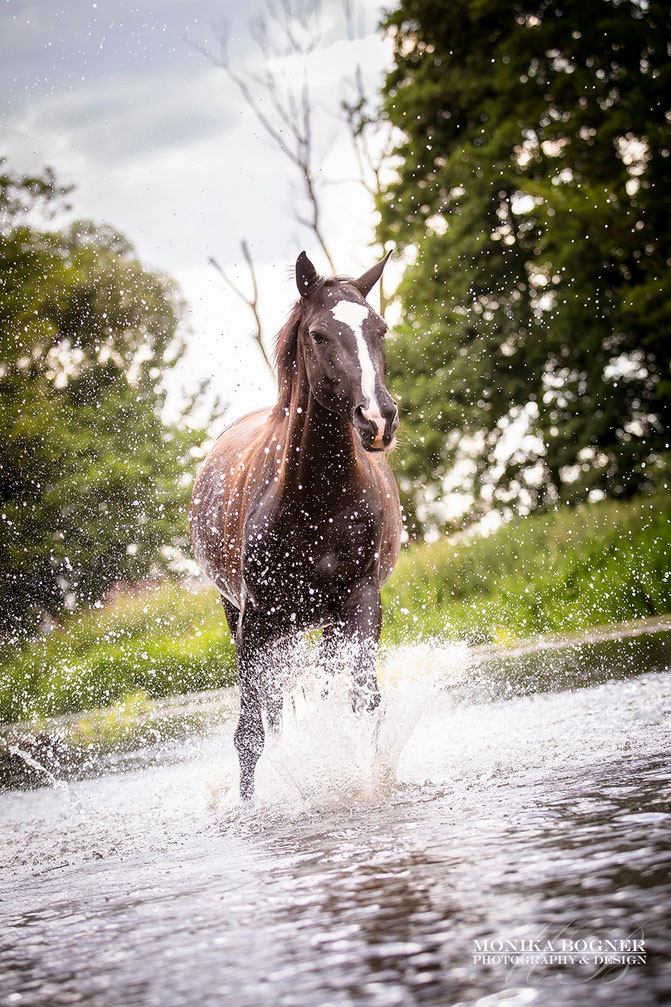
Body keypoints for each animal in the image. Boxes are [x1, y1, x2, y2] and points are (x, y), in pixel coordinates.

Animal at [188, 249, 398, 793]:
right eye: (319, 334)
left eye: (380, 329)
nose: (378, 418)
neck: (316, 501)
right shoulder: (255, 620)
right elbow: (249, 737)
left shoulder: (361, 604)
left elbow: (363, 706)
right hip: (251, 618)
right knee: (272, 709)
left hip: (320, 623)